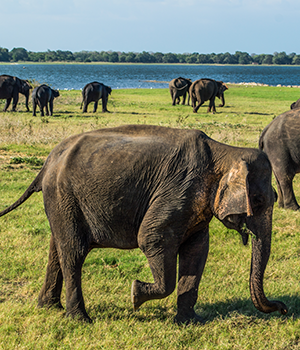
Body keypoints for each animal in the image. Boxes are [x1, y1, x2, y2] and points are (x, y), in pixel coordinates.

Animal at [0, 124, 288, 324]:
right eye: (258, 200)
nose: (283, 308)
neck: (224, 151)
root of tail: (48, 162)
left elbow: (197, 250)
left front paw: (190, 322)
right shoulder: (179, 191)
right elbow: (151, 237)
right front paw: (135, 294)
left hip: (62, 204)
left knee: (56, 250)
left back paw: (49, 308)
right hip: (64, 196)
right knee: (73, 253)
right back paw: (80, 319)